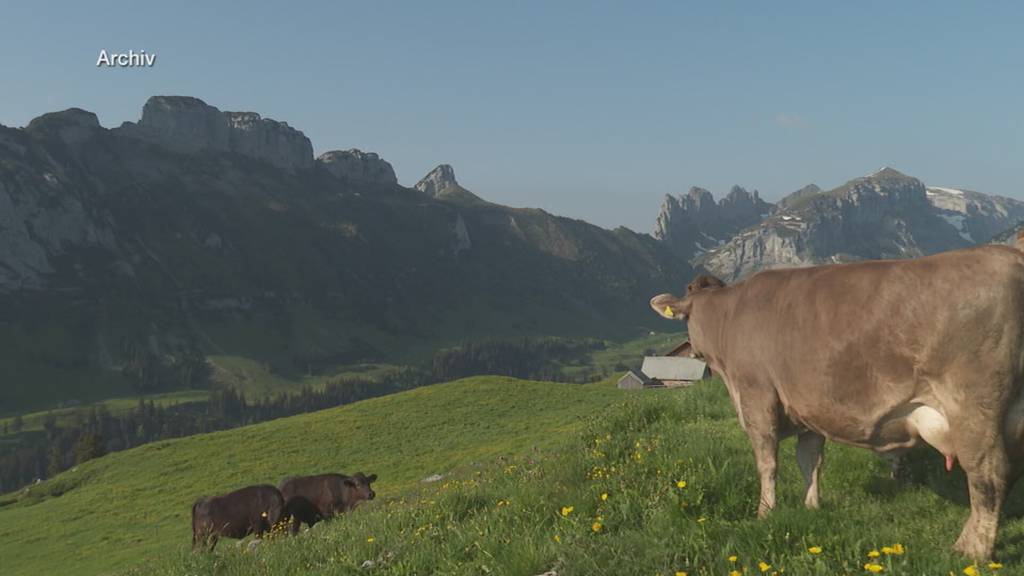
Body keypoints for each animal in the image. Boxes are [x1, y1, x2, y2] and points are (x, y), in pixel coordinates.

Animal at [651, 242, 1024, 557]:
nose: (692, 351)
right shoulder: (807, 410)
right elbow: (810, 461)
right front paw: (811, 506)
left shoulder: (757, 397)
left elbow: (767, 463)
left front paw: (765, 513)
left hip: (973, 407)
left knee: (989, 475)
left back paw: (972, 551)